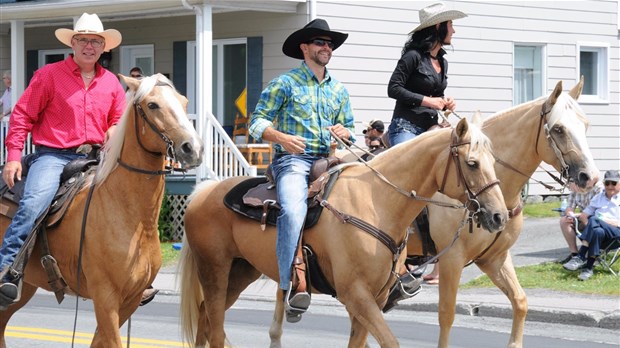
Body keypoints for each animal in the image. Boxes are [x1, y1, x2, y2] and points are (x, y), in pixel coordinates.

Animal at [0, 72, 203, 346]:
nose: (193, 148)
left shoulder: (130, 300)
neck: (132, 217)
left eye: (184, 102)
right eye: (152, 105)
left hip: (26, 287)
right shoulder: (105, 298)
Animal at [179, 117, 508, 348]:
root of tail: (203, 192)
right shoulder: (356, 295)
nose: (499, 216)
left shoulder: (373, 298)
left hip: (241, 272)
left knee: (206, 319)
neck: (377, 201)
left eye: (494, 162)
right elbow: (390, 341)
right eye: (472, 163)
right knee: (214, 328)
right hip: (215, 270)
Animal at [404, 79, 600, 348]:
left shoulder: (495, 258)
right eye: (559, 129)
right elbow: (446, 314)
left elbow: (520, 302)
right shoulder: (451, 258)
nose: (590, 177)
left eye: (586, 124)